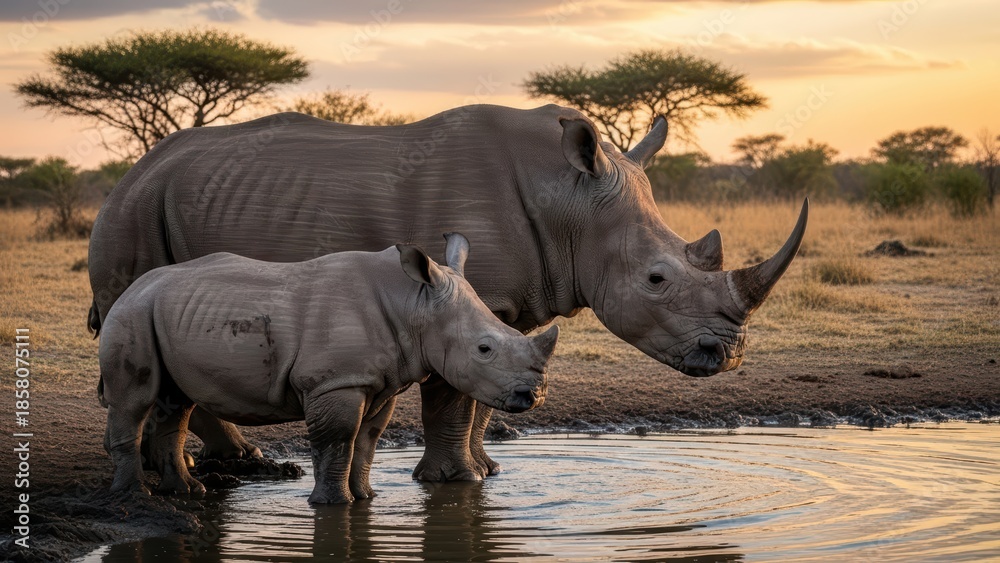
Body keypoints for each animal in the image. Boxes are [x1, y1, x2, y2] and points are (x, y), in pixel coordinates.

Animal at [100, 233, 557, 503]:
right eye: (484, 348)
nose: (532, 396)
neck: (414, 304)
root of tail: (132, 288)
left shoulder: (379, 382)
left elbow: (366, 440)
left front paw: (366, 498)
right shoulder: (335, 382)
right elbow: (337, 439)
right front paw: (333, 504)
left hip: (164, 313)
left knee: (175, 404)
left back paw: (187, 491)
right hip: (132, 315)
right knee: (135, 400)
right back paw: (134, 496)